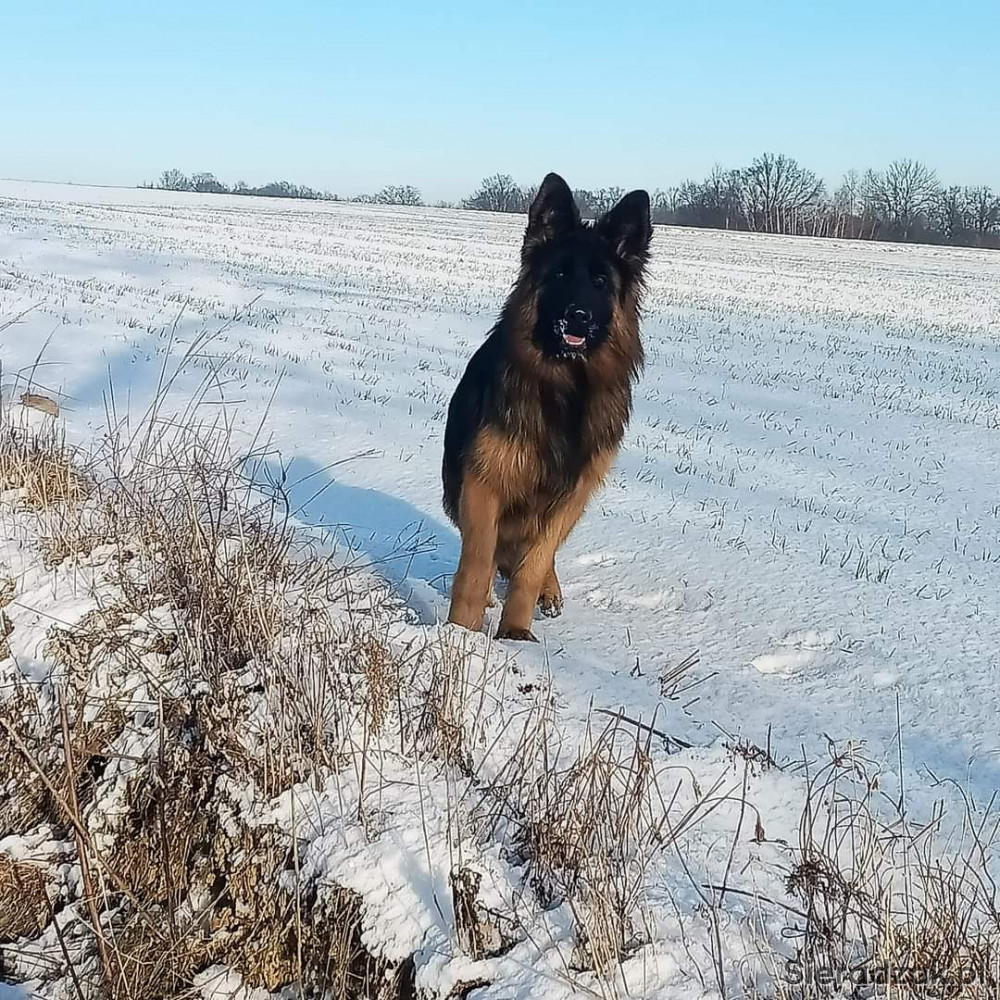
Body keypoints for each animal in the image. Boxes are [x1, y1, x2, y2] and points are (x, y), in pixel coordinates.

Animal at [442, 172, 651, 640]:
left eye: (600, 282)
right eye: (558, 274)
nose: (578, 316)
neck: (566, 388)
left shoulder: (572, 492)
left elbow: (533, 565)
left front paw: (516, 634)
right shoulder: (484, 483)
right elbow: (476, 564)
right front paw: (462, 633)